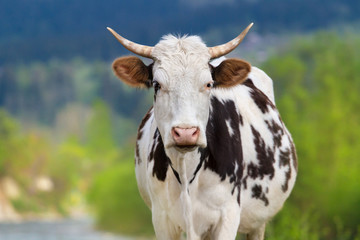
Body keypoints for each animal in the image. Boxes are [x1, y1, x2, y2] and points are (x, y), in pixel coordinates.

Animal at [107, 23, 298, 240]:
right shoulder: (162, 219)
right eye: (157, 84)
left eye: (208, 84)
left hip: (258, 223)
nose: (185, 132)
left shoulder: (228, 215)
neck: (186, 172)